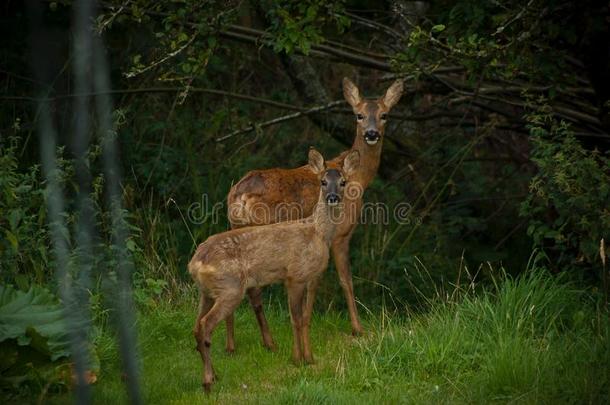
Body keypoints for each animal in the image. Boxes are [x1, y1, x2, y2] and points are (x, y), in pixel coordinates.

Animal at [188, 149, 358, 392]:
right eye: (323, 182)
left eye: (343, 182)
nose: (332, 197)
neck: (317, 232)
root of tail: (195, 263)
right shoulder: (295, 275)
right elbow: (296, 319)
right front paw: (298, 359)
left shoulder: (305, 278)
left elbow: (304, 318)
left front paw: (309, 358)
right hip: (230, 288)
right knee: (206, 325)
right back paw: (208, 381)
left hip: (206, 292)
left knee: (196, 326)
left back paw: (214, 375)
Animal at [224, 76, 404, 350]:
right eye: (359, 115)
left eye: (384, 115)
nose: (372, 134)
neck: (357, 179)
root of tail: (240, 197)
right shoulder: (340, 234)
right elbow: (344, 280)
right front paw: (357, 329)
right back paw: (269, 341)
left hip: (235, 226)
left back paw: (233, 344)